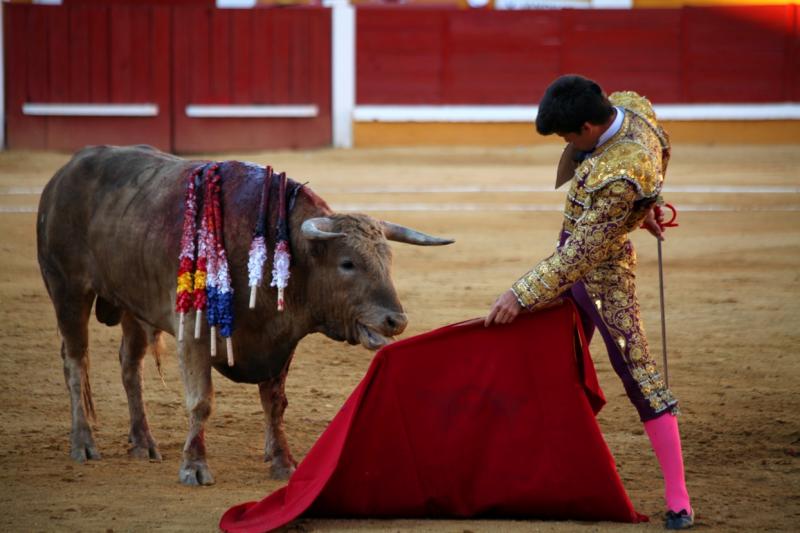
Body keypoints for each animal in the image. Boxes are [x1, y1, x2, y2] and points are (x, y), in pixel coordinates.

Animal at [37, 143, 454, 484]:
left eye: (388, 261)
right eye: (347, 263)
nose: (396, 321)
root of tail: (63, 173)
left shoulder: (279, 341)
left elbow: (275, 404)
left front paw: (283, 462)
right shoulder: (194, 332)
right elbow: (201, 400)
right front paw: (194, 466)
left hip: (130, 304)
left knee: (130, 364)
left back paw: (143, 442)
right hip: (68, 290)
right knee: (76, 360)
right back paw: (84, 444)